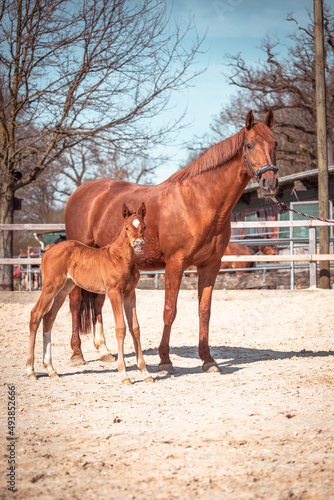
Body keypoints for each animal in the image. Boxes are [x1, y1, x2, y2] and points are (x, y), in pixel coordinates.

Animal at [26, 201, 152, 384]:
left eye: (144, 226)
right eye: (127, 227)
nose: (138, 244)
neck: (120, 258)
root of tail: (49, 249)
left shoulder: (130, 294)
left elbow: (135, 328)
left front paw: (145, 372)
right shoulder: (114, 293)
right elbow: (121, 328)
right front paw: (124, 374)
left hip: (64, 288)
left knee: (49, 317)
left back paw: (51, 369)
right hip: (50, 286)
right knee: (36, 314)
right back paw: (31, 370)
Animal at [64, 110, 278, 376]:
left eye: (275, 144)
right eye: (249, 145)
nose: (270, 183)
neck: (197, 202)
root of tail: (80, 193)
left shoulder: (210, 265)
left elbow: (204, 311)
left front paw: (208, 359)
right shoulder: (175, 264)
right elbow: (170, 310)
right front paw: (164, 361)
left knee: (97, 301)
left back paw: (104, 351)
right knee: (75, 302)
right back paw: (77, 354)